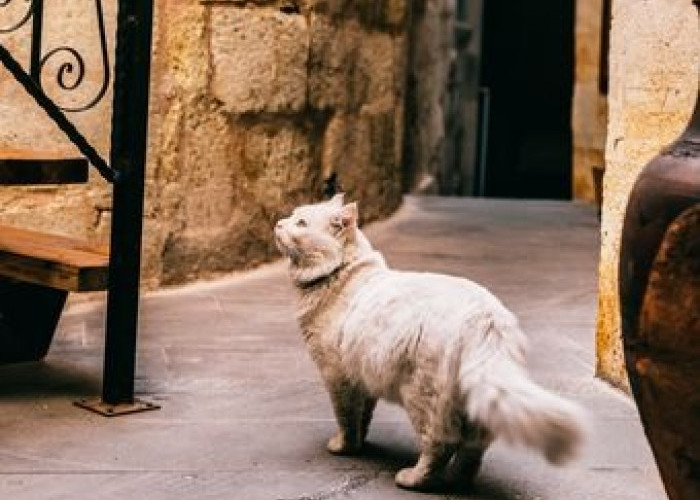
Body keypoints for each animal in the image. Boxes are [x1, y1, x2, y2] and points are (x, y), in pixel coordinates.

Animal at [274, 195, 584, 492]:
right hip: (469, 406)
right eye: (291, 216)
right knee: (473, 449)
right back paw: (458, 482)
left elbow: (346, 418)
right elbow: (364, 416)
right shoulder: (363, 377)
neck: (342, 275)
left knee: (440, 445)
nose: (278, 223)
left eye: (300, 223)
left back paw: (413, 479)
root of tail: (486, 317)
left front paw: (344, 447)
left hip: (423, 397)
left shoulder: (338, 376)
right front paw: (361, 443)